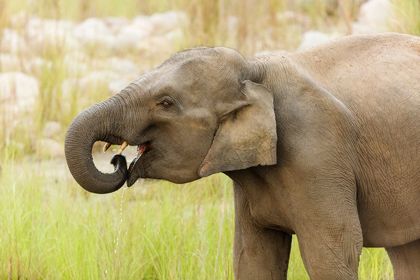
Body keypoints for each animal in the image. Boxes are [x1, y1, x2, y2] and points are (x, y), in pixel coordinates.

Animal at [64, 33, 420, 280]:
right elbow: (254, 258)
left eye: (165, 103)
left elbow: (331, 254)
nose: (117, 161)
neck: (254, 69)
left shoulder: (318, 150)